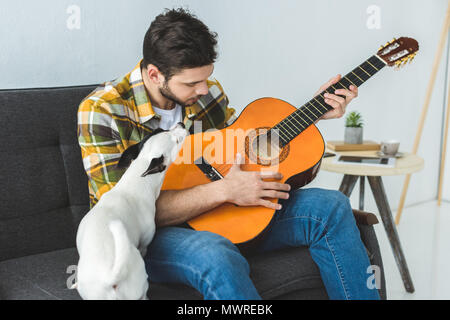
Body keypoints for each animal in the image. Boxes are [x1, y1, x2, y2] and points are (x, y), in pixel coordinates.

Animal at [74, 122, 186, 300]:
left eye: (160, 130)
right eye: (177, 141)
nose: (181, 124)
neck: (136, 180)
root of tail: (109, 279)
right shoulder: (145, 243)